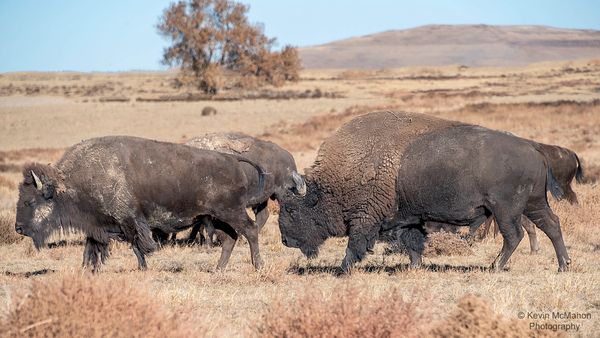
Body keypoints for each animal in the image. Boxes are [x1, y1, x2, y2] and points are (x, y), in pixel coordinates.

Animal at [14, 136, 264, 270]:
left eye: (30, 201)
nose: (18, 228)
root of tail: (232, 159)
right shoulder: (98, 226)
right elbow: (91, 247)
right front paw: (87, 269)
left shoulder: (129, 222)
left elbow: (138, 246)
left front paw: (142, 268)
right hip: (216, 217)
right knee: (230, 239)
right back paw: (218, 269)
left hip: (231, 212)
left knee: (250, 231)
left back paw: (257, 265)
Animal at [278, 112, 568, 274]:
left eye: (291, 209)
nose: (285, 240)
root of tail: (532, 147)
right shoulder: (410, 219)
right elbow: (414, 244)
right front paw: (415, 267)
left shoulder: (365, 218)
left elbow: (355, 245)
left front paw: (341, 270)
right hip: (533, 203)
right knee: (552, 225)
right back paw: (563, 265)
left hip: (505, 210)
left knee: (514, 235)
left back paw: (495, 267)